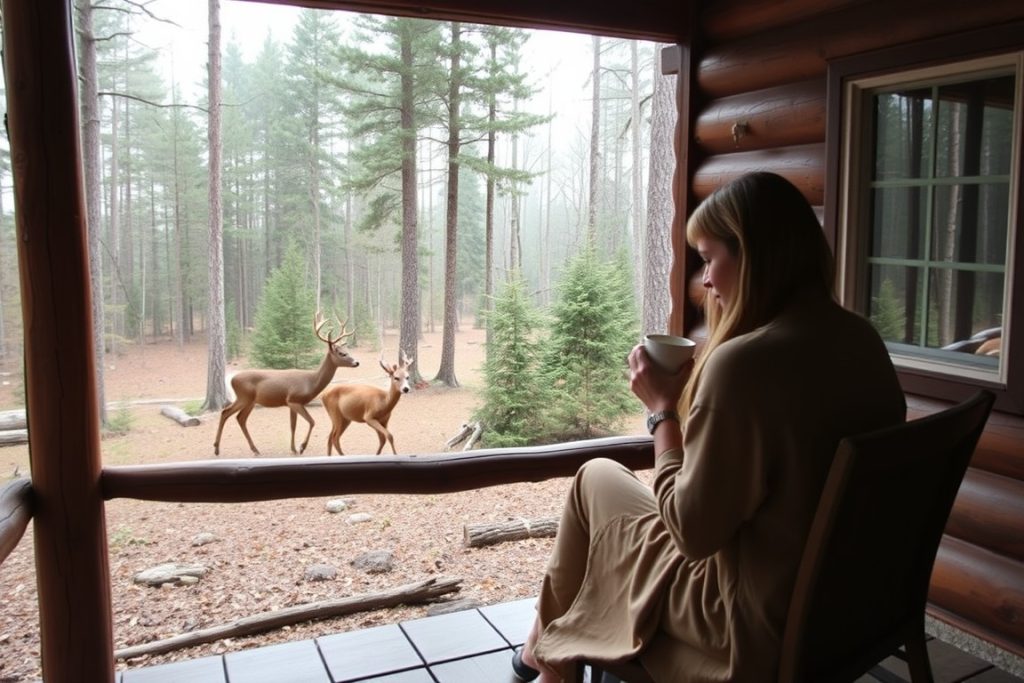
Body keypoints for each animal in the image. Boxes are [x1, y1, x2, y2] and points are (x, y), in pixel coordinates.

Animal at [211, 313, 360, 456]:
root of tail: (232, 379)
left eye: (347, 351)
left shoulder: (290, 403)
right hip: (244, 397)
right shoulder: (294, 399)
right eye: (341, 353)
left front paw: (293, 448)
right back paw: (217, 448)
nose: (357, 362)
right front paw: (301, 447)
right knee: (226, 412)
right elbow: (312, 421)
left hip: (250, 401)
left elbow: (293, 426)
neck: (311, 382)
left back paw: (255, 449)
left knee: (240, 418)